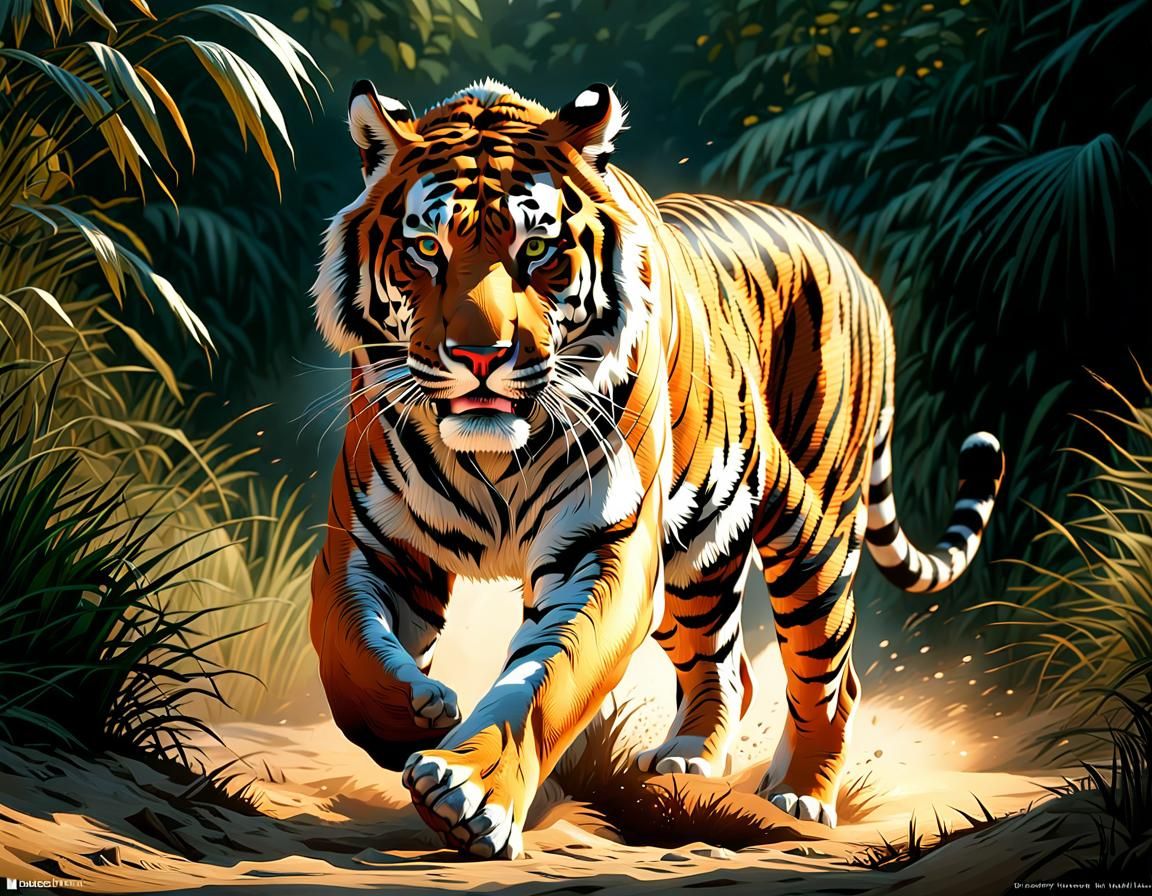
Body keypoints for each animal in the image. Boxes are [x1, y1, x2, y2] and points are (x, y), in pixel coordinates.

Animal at [308, 78, 1005, 859]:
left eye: (537, 248)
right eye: (426, 248)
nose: (481, 356)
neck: (490, 455)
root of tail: (848, 259)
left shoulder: (601, 548)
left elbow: (547, 679)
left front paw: (471, 791)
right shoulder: (368, 544)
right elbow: (342, 649)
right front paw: (410, 716)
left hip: (810, 527)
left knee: (830, 673)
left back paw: (800, 794)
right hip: (693, 563)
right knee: (726, 664)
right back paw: (688, 757)